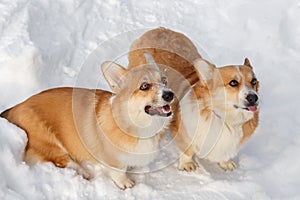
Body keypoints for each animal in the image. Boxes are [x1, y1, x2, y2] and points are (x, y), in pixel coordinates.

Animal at [0, 53, 175, 189]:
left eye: (164, 80)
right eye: (144, 86)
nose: (170, 94)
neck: (138, 124)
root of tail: (15, 108)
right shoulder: (113, 160)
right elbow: (118, 171)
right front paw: (125, 182)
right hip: (47, 139)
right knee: (61, 159)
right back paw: (83, 172)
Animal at [126, 27, 258, 172]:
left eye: (254, 81)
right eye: (233, 83)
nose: (254, 97)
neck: (224, 119)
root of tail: (158, 29)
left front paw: (226, 162)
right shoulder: (185, 135)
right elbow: (187, 151)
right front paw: (187, 164)